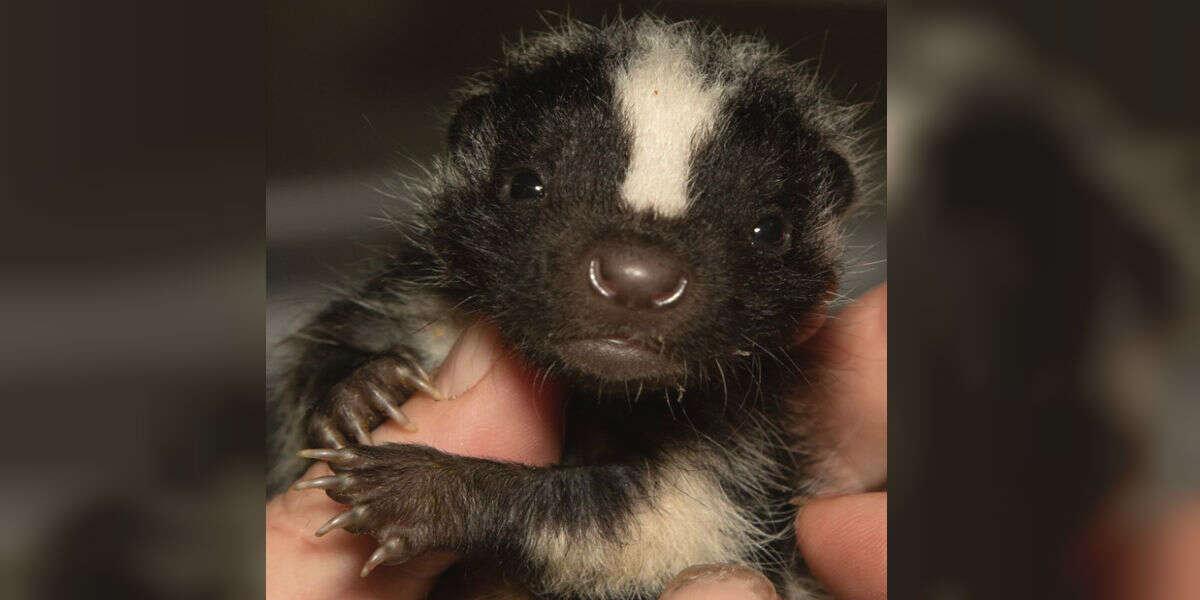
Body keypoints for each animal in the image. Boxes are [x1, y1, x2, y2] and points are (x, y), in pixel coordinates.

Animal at [271, 15, 868, 600]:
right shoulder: (422, 304)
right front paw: (360, 392)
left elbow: (667, 522)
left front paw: (417, 492)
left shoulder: (742, 452)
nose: (637, 278)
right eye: (525, 184)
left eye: (769, 230)